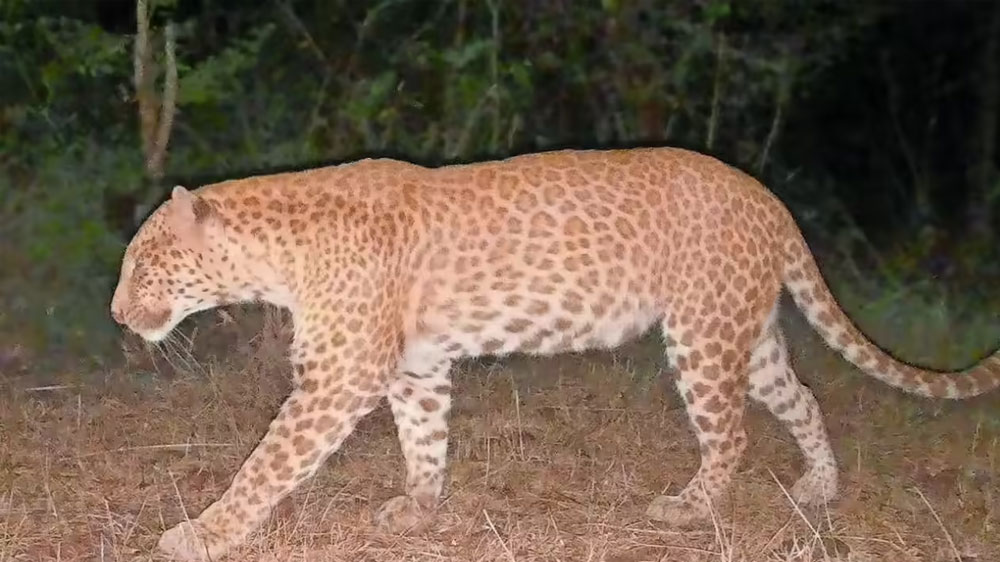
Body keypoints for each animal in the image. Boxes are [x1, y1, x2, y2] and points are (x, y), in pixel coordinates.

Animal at [110, 147, 1000, 561]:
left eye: (144, 266)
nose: (117, 315)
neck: (274, 253)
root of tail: (766, 195)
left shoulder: (339, 376)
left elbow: (266, 463)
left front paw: (201, 533)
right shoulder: (415, 365)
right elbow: (424, 440)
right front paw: (419, 510)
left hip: (702, 336)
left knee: (732, 435)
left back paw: (691, 508)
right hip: (747, 336)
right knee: (802, 398)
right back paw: (818, 486)